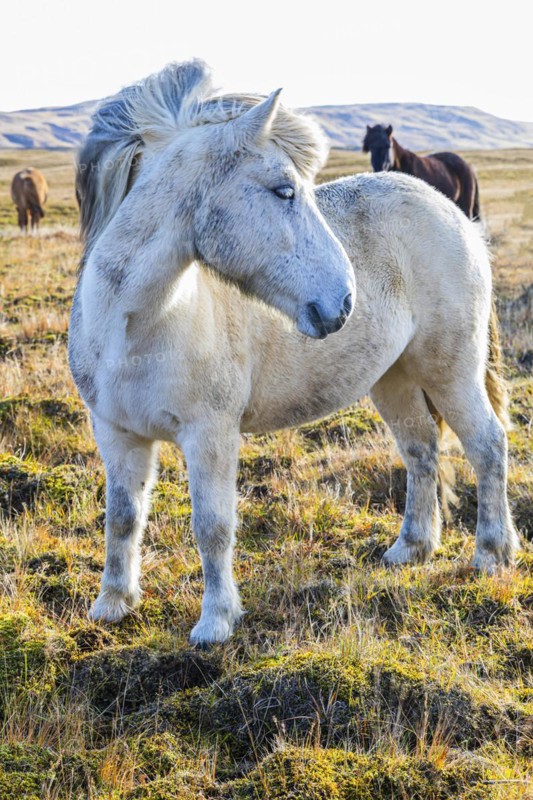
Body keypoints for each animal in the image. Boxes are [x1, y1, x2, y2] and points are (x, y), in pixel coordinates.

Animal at [70, 61, 518, 646]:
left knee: (487, 444)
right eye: (284, 190)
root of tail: (454, 214)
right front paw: (112, 605)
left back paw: (492, 553)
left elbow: (212, 525)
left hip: (450, 370)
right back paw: (411, 548)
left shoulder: (210, 434)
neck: (134, 327)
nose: (344, 301)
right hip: (393, 378)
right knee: (421, 450)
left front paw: (215, 622)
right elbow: (122, 518)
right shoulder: (117, 434)